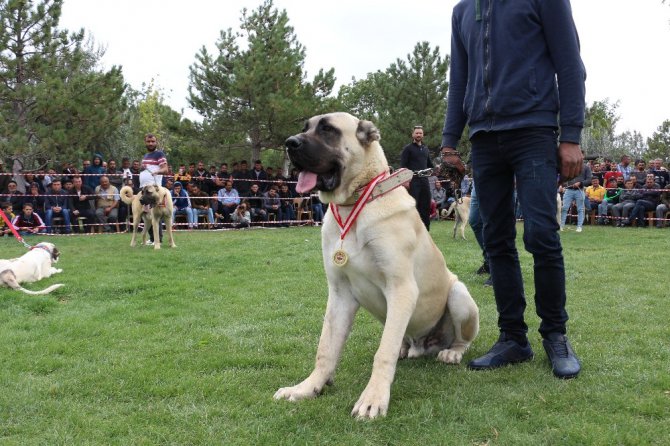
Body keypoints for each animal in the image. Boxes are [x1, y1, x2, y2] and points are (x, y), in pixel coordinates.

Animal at [276, 113, 480, 420]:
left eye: (328, 130)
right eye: (305, 128)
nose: (290, 143)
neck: (354, 205)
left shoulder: (401, 288)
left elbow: (382, 353)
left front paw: (373, 398)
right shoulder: (339, 294)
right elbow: (326, 348)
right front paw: (308, 387)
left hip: (459, 294)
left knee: (461, 339)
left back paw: (452, 352)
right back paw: (406, 349)